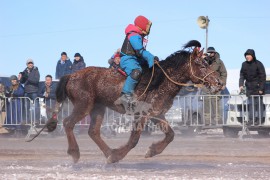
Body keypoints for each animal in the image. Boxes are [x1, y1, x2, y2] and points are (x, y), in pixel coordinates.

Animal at [28, 40, 223, 164]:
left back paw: (108, 152)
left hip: (98, 108)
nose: (219, 83)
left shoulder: (156, 114)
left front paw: (152, 151)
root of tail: (71, 76)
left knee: (93, 132)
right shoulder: (140, 115)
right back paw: (76, 153)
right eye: (202, 64)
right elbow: (134, 140)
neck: (160, 80)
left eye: (208, 61)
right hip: (84, 105)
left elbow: (171, 135)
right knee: (68, 123)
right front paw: (117, 156)